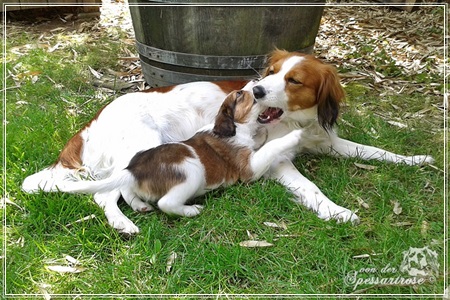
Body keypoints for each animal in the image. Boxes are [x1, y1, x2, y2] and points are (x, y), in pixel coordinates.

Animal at [55, 89, 302, 218]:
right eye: (241, 95)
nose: (259, 89)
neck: (236, 126)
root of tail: (134, 170)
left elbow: (261, 140)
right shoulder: (248, 168)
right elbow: (271, 147)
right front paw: (296, 135)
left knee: (128, 190)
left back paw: (140, 205)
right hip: (191, 172)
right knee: (166, 204)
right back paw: (191, 210)